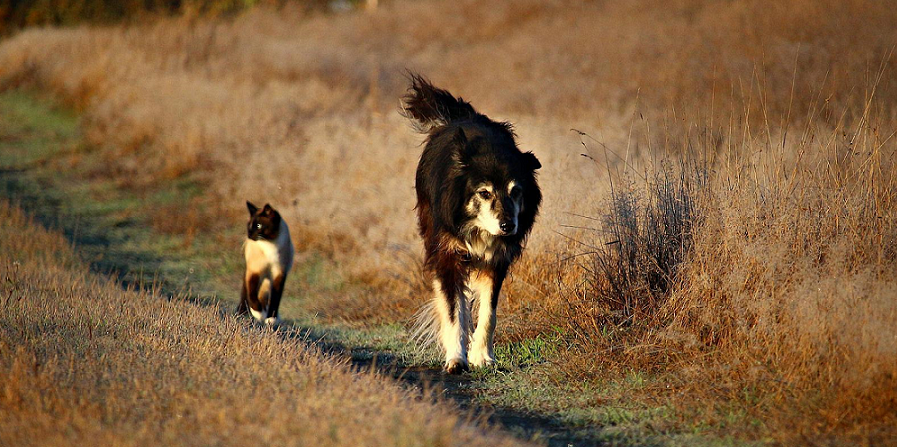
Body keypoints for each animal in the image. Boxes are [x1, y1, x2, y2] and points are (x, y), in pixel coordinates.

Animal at [402, 74, 544, 374]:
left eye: (516, 191)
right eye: (484, 193)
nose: (508, 226)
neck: (478, 229)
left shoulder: (496, 260)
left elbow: (489, 312)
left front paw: (483, 358)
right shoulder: (447, 253)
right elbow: (454, 310)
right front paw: (457, 359)